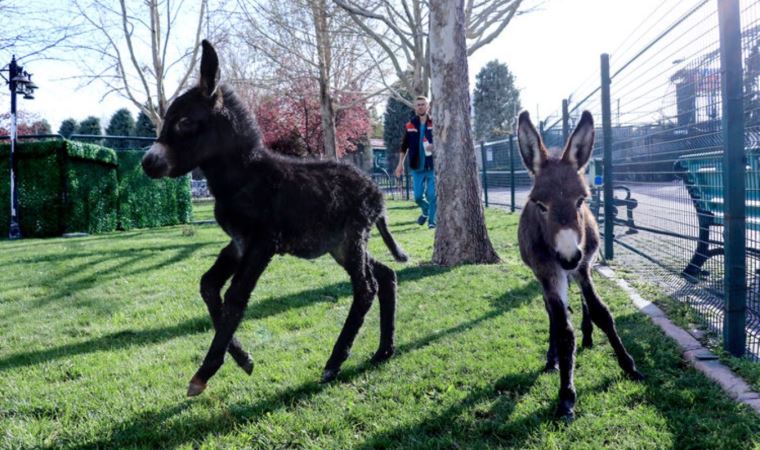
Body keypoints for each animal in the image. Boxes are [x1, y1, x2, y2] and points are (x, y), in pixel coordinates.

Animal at [140, 40, 406, 396]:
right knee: (387, 275)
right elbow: (209, 286)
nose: (147, 163)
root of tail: (376, 191)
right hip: (340, 245)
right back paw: (383, 351)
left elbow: (235, 298)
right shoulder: (238, 243)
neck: (245, 178)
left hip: (351, 240)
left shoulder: (262, 244)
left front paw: (205, 372)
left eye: (184, 121)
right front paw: (242, 359)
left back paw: (335, 362)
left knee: (366, 287)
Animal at [516, 110, 640, 420]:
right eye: (540, 205)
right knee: (552, 312)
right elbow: (562, 328)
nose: (569, 256)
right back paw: (553, 360)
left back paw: (588, 337)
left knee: (585, 304)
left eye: (581, 200)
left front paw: (629, 365)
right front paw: (566, 396)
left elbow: (601, 312)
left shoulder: (584, 267)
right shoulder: (549, 273)